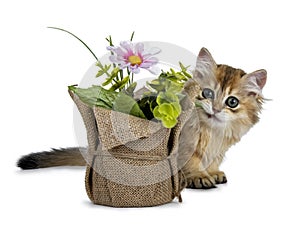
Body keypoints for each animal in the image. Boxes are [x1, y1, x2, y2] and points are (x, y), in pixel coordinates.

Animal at [17, 48, 268, 190]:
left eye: (232, 102)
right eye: (207, 93)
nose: (215, 109)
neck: (212, 131)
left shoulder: (218, 149)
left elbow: (213, 160)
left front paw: (213, 172)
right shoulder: (185, 143)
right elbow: (192, 162)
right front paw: (199, 176)